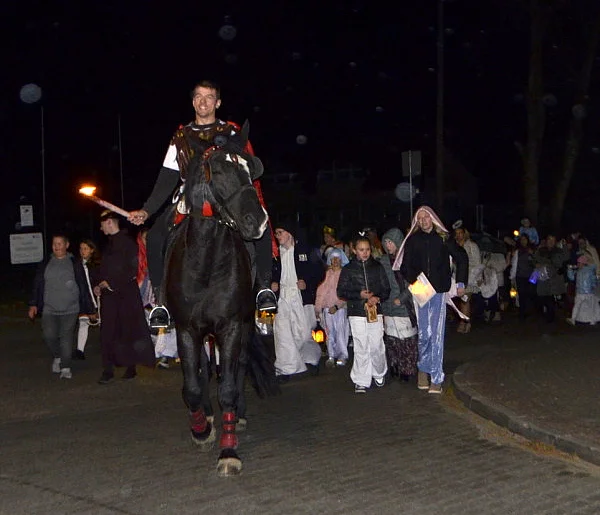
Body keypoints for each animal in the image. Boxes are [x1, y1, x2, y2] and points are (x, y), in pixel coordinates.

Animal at [166, 126, 272, 480]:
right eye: (220, 170)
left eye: (251, 170)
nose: (258, 221)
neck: (206, 263)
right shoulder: (186, 329)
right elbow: (192, 386)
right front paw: (201, 429)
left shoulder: (231, 327)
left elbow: (227, 386)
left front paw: (228, 451)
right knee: (201, 371)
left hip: (245, 326)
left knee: (238, 370)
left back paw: (237, 415)